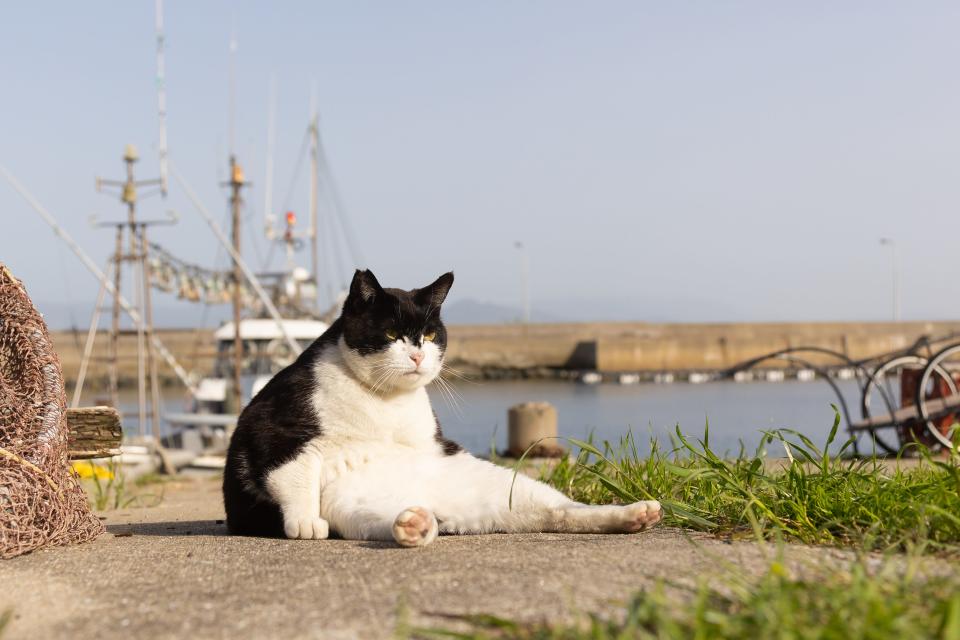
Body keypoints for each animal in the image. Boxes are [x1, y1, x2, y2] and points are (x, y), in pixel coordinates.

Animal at [224, 272, 660, 548]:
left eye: (431, 334)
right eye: (391, 333)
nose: (418, 355)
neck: (383, 401)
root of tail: (442, 508)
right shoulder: (274, 430)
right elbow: (295, 476)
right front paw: (303, 522)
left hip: (504, 487)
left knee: (561, 511)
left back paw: (634, 515)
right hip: (348, 504)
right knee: (389, 521)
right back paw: (415, 525)